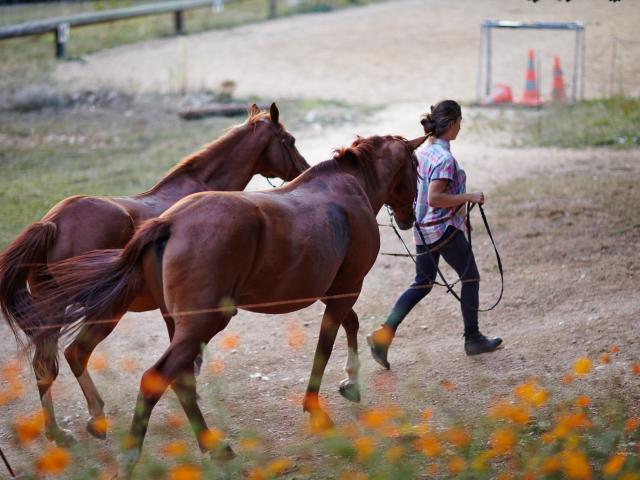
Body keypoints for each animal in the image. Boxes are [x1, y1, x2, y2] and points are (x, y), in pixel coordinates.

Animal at [0, 102, 310, 446]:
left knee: (45, 364)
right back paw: (94, 420)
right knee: (74, 354)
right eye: (290, 140)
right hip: (103, 310)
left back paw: (58, 432)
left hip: (55, 311)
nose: (304, 170)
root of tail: (53, 223)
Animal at [26, 131, 424, 472]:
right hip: (191, 320)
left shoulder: (339, 291)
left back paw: (208, 445)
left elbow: (350, 325)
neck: (345, 189)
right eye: (417, 168)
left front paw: (351, 380)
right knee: (149, 375)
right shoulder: (347, 289)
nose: (410, 217)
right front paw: (318, 406)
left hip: (176, 322)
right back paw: (128, 451)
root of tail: (169, 222)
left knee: (173, 378)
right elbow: (324, 347)